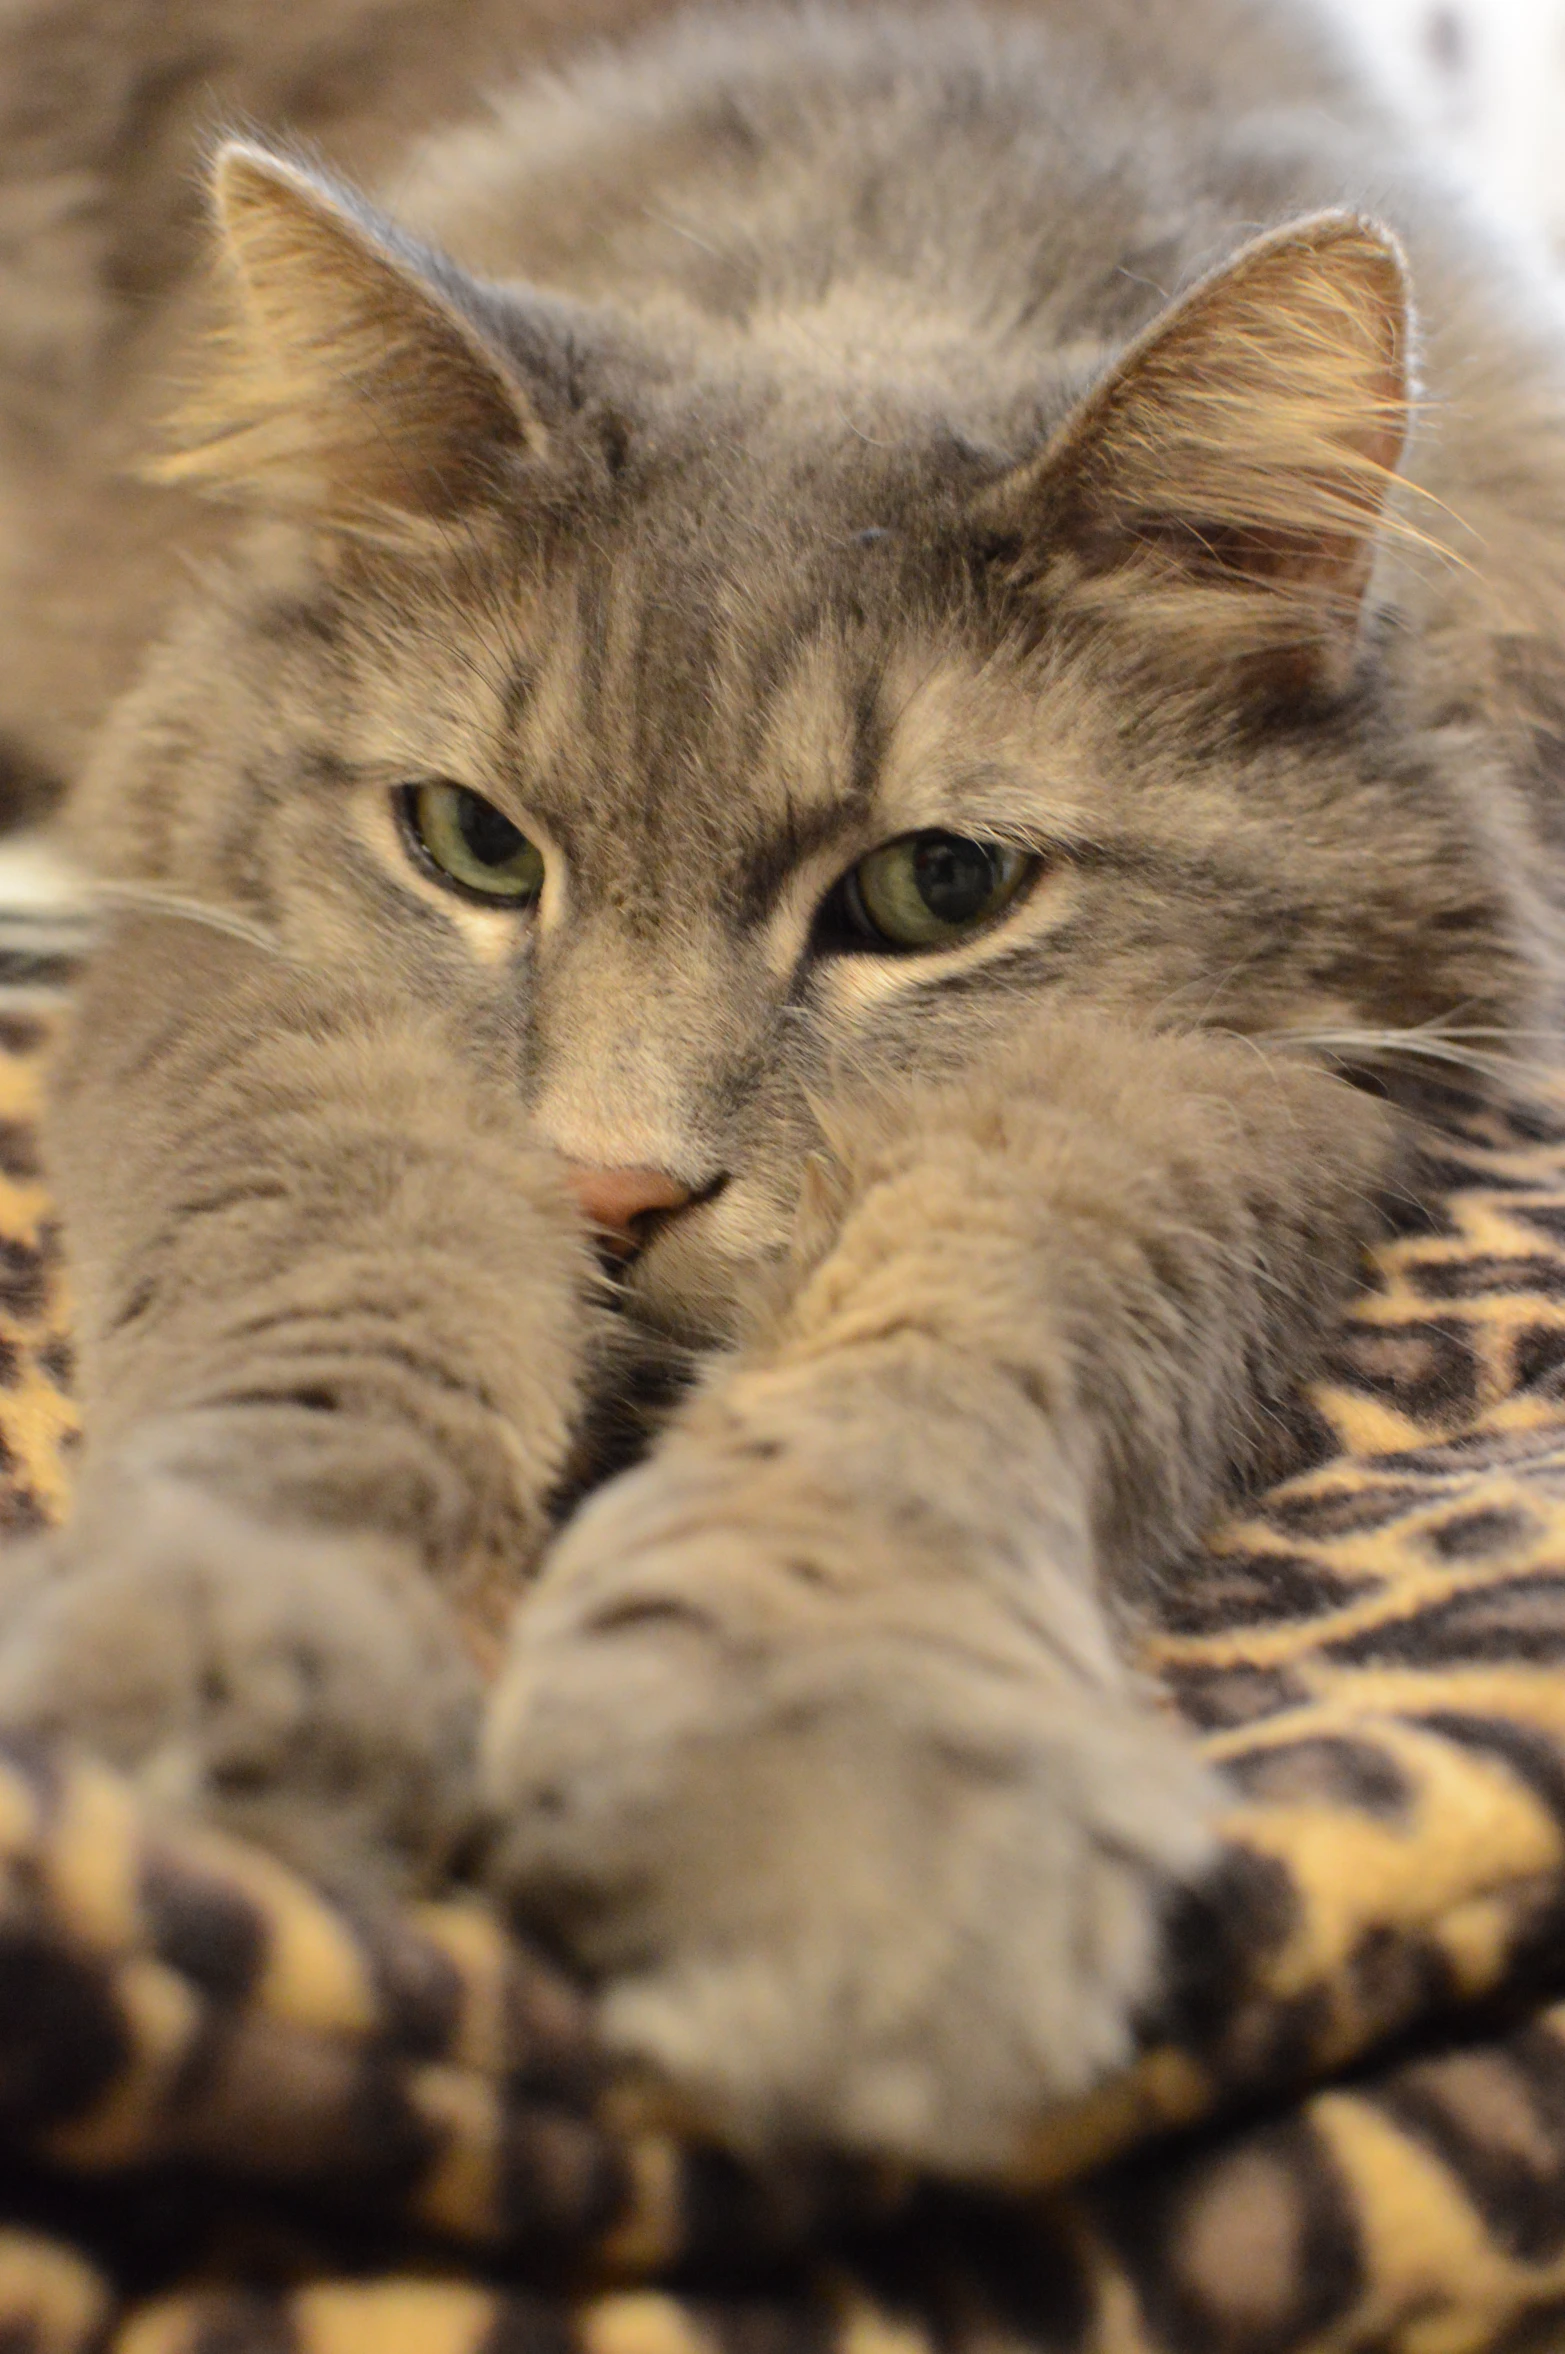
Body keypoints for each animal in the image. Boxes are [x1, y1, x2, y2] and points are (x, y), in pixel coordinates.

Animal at [3, 0, 1562, 2175]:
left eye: (935, 890)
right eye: (471, 847)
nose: (607, 1192)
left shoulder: (1213, 1093)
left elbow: (944, 1345)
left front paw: (833, 1804)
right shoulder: (227, 959)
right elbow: (332, 1279)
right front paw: (221, 1667)